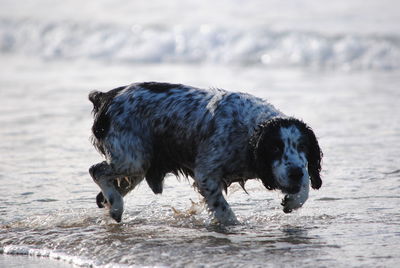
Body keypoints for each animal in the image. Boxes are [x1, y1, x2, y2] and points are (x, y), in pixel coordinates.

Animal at [87, 82, 322, 224]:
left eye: (303, 146)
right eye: (275, 147)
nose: (294, 173)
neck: (248, 131)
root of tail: (106, 96)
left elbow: (306, 183)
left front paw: (293, 201)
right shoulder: (206, 175)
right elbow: (223, 210)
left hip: (137, 166)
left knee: (103, 194)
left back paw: (114, 206)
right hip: (132, 160)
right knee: (96, 170)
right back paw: (117, 208)